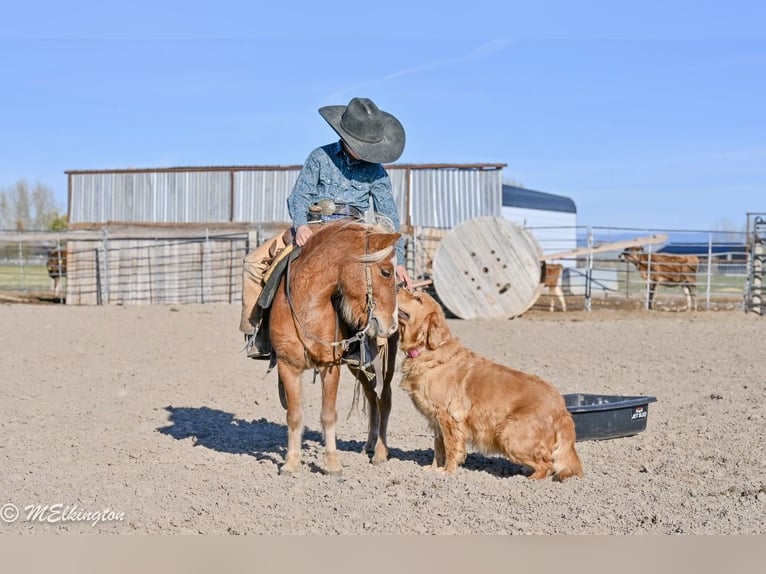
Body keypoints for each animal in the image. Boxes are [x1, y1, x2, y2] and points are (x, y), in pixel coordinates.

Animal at [267, 217, 401, 476]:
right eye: (385, 272)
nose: (391, 324)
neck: (307, 306)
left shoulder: (330, 367)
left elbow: (328, 415)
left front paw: (332, 464)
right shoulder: (288, 366)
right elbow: (294, 415)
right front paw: (291, 463)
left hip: (384, 364)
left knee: (385, 398)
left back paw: (380, 452)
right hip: (359, 366)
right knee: (371, 397)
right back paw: (370, 444)